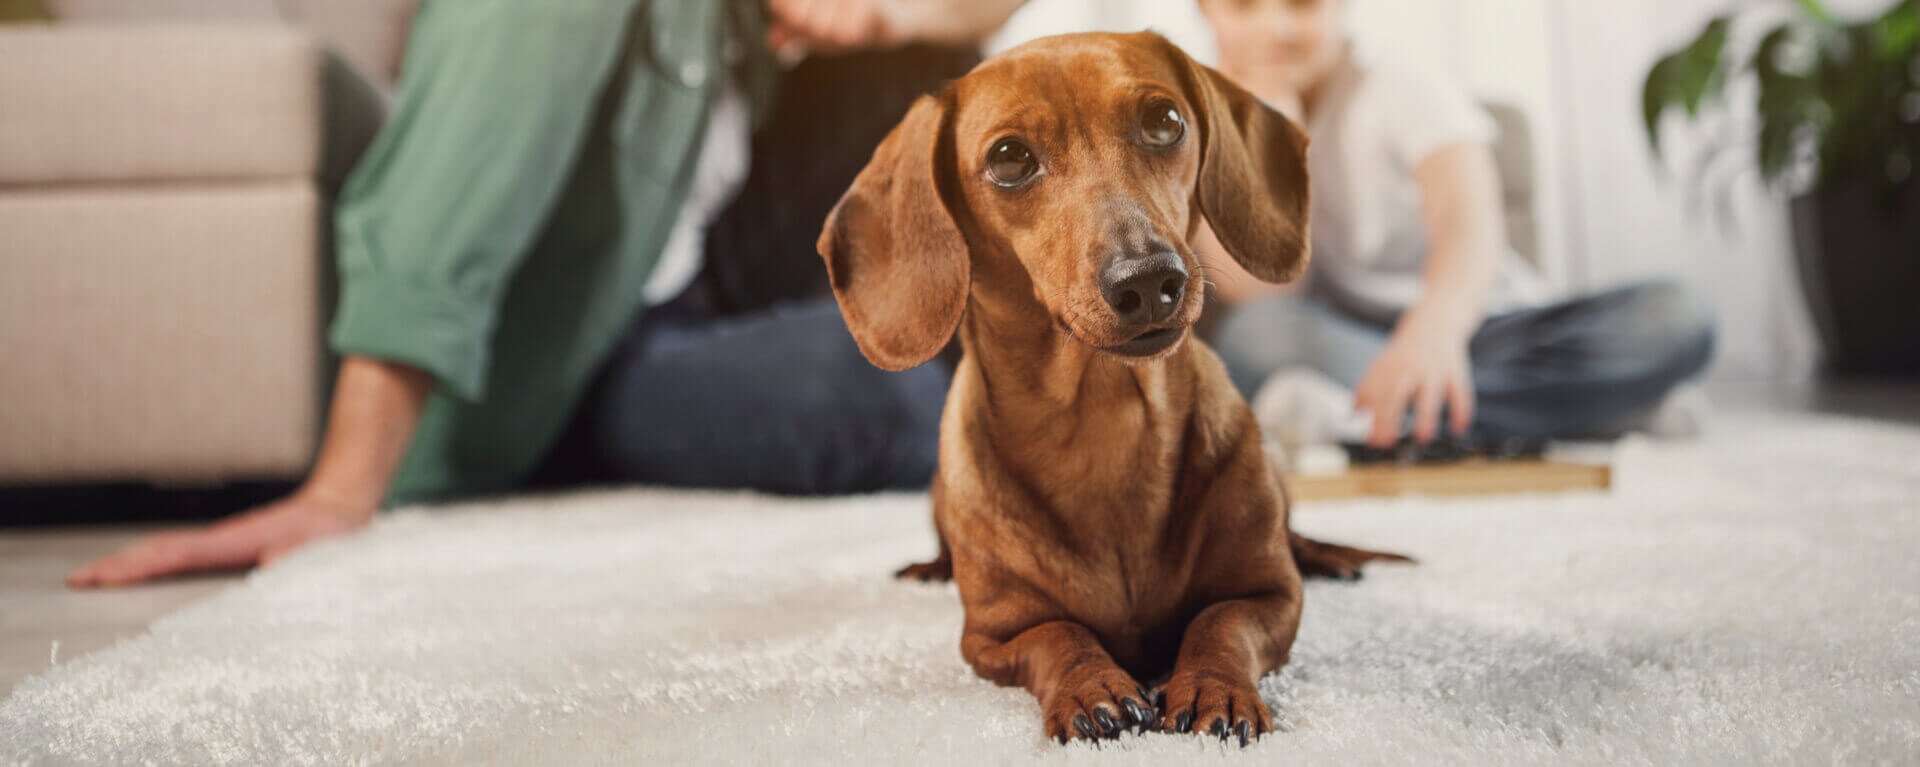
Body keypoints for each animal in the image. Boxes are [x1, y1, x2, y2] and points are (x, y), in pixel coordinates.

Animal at [817, 33, 1405, 749]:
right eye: (1008, 158)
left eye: (1165, 120)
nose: (1149, 279)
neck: (1107, 423)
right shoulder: (993, 637)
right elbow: (1059, 634)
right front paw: (1093, 688)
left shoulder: (1270, 598)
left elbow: (1219, 623)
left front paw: (1213, 687)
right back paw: (930, 567)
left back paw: (1329, 556)